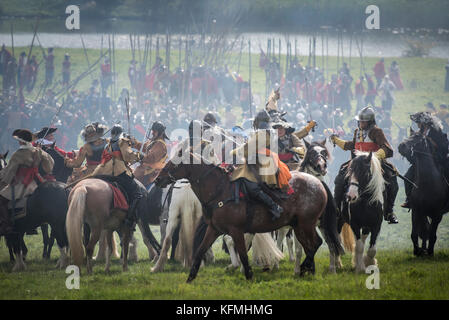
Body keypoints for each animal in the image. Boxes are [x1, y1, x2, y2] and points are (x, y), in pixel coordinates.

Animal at [156, 148, 342, 282]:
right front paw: (190, 277)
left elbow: (243, 254)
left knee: (316, 244)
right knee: (310, 246)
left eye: (174, 164)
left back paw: (305, 268)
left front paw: (249, 275)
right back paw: (307, 270)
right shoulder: (214, 229)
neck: (220, 189)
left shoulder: (237, 230)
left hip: (306, 224)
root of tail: (318, 183)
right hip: (299, 226)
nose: (158, 180)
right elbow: (200, 250)